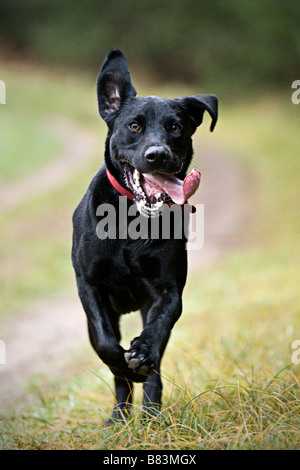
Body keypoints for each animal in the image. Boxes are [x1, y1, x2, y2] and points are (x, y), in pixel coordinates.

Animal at [72, 49, 218, 420]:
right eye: (134, 126)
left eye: (176, 127)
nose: (158, 155)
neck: (130, 220)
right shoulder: (90, 286)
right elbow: (107, 346)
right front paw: (124, 367)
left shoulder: (168, 289)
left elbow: (158, 329)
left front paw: (141, 355)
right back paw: (119, 417)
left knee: (156, 368)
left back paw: (151, 413)